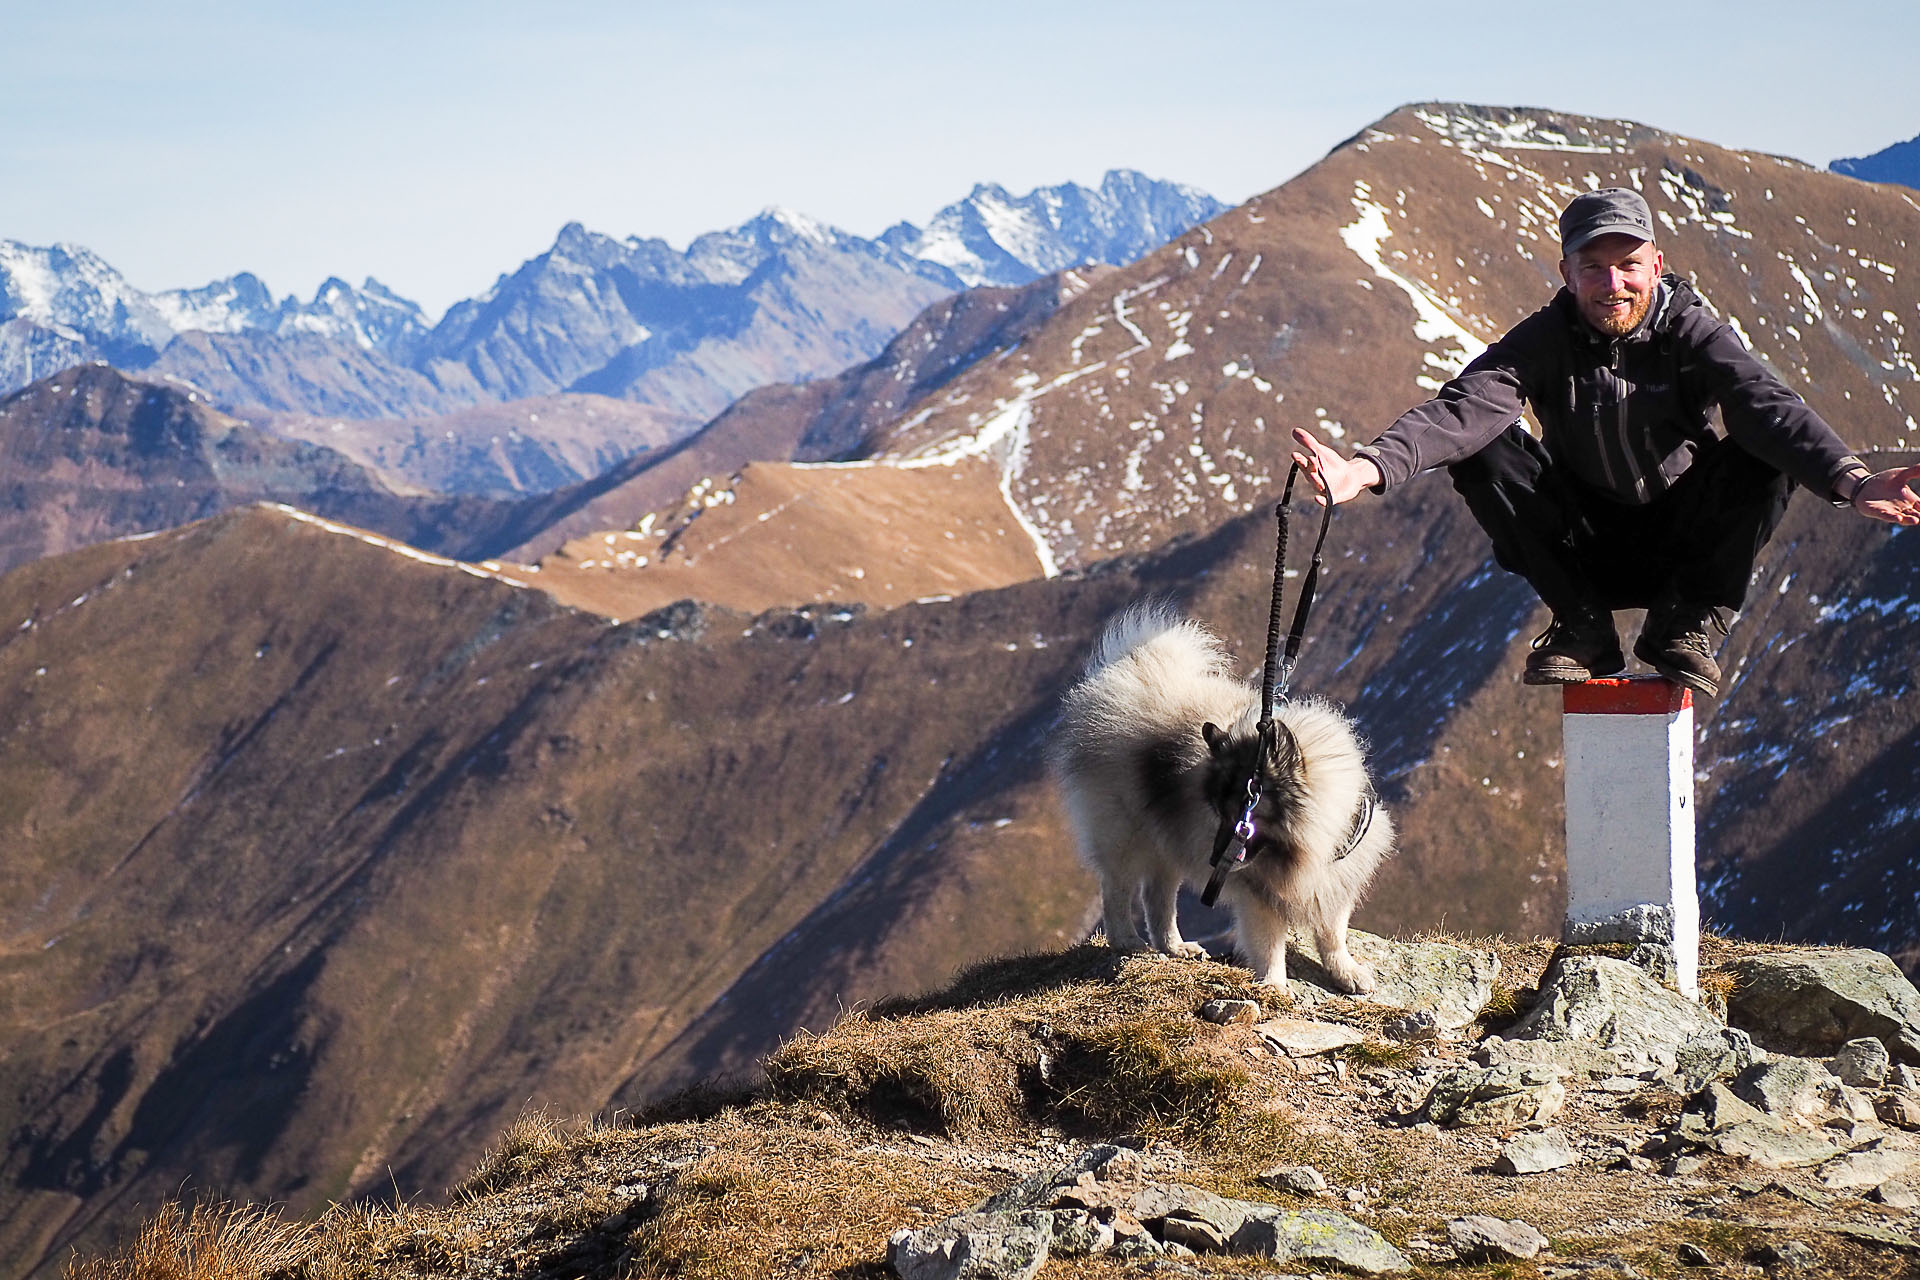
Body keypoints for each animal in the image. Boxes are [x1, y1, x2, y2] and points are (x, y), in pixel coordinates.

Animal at [1052, 606, 1397, 997]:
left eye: (1243, 815)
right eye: (1220, 812)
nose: (1216, 860)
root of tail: (1128, 673)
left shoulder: (1334, 883)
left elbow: (1332, 934)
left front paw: (1346, 971)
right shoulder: (1260, 896)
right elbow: (1269, 945)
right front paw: (1275, 986)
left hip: (1167, 837)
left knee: (1158, 897)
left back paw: (1174, 946)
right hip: (1125, 836)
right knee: (1117, 890)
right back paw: (1126, 940)